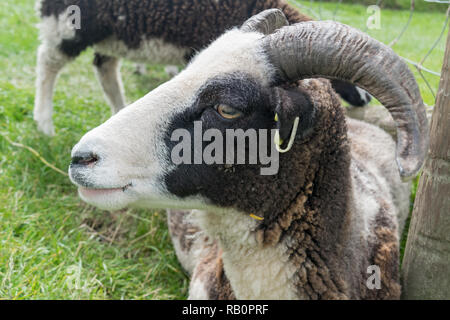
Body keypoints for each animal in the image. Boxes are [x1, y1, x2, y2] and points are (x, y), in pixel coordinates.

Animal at [35, 0, 370, 136]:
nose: (366, 100)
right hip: (69, 22)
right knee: (47, 63)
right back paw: (44, 124)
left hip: (113, 33)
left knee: (105, 69)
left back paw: (119, 112)